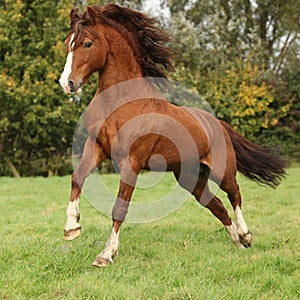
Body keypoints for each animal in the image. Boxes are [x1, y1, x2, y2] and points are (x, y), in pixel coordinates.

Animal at [58, 4, 286, 268]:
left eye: (87, 44)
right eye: (68, 43)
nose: (67, 83)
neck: (120, 103)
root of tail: (217, 123)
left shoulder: (132, 161)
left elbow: (119, 207)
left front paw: (105, 255)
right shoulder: (96, 147)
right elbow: (77, 177)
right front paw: (71, 228)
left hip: (223, 170)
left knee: (234, 194)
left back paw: (246, 235)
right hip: (190, 177)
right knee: (217, 205)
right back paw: (238, 243)